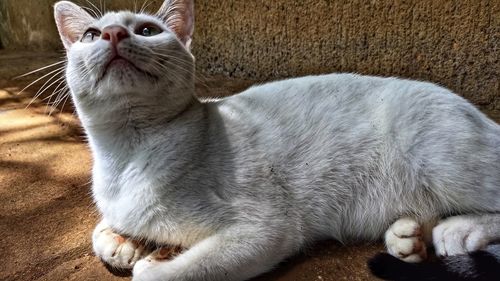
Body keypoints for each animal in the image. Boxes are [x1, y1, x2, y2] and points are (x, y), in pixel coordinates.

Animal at [51, 0, 500, 280]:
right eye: (90, 35)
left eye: (147, 30)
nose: (111, 33)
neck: (126, 154)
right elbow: (101, 230)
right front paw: (121, 242)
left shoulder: (265, 229)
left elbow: (165, 275)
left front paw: (151, 262)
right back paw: (408, 237)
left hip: (437, 155)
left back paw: (454, 232)